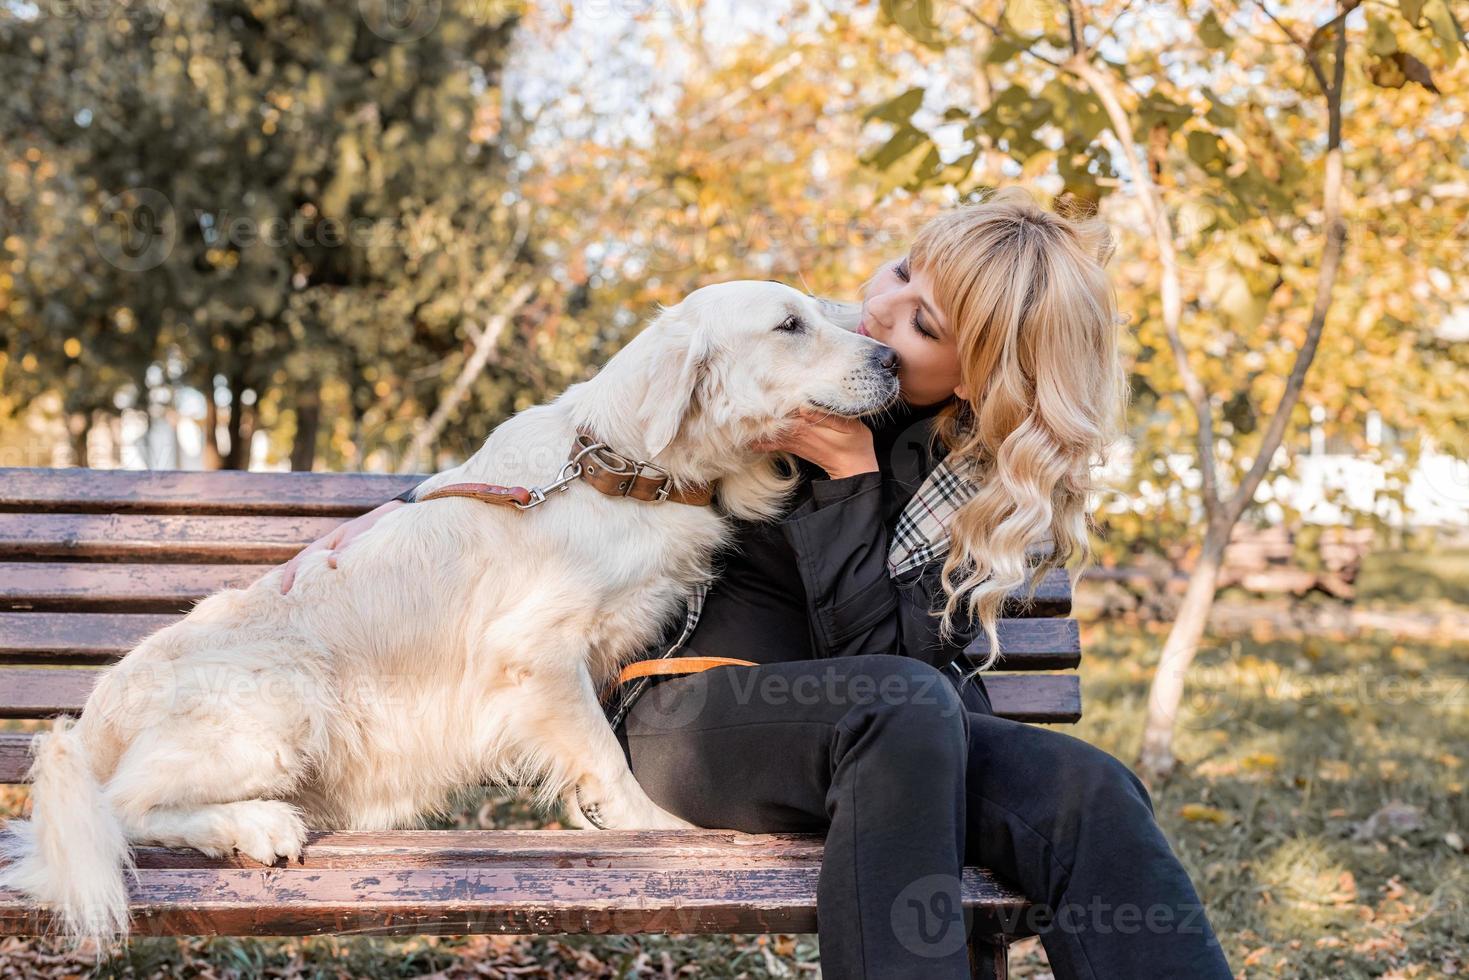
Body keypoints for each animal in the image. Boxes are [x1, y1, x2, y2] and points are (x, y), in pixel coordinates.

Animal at [0, 277, 893, 952]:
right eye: (789, 324)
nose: (890, 356)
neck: (625, 469)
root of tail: (90, 723)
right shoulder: (535, 653)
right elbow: (608, 759)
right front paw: (651, 828)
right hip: (280, 701)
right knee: (117, 811)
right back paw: (253, 826)